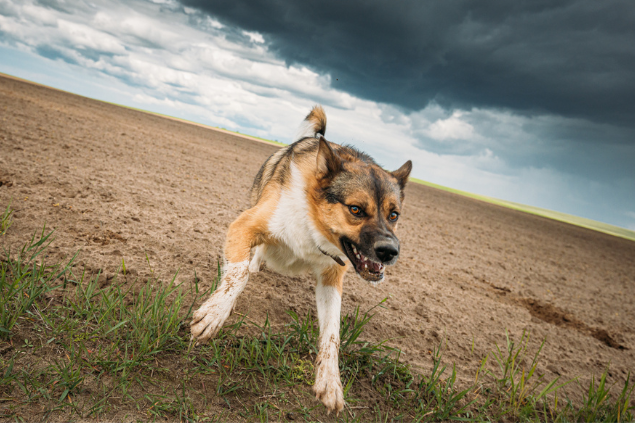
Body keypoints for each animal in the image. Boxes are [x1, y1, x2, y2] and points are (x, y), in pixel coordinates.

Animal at [190, 105, 412, 414]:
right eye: (356, 209)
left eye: (393, 215)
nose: (390, 252)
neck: (313, 221)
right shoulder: (244, 226)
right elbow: (238, 274)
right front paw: (214, 314)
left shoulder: (332, 277)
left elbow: (332, 333)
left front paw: (330, 381)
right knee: (253, 258)